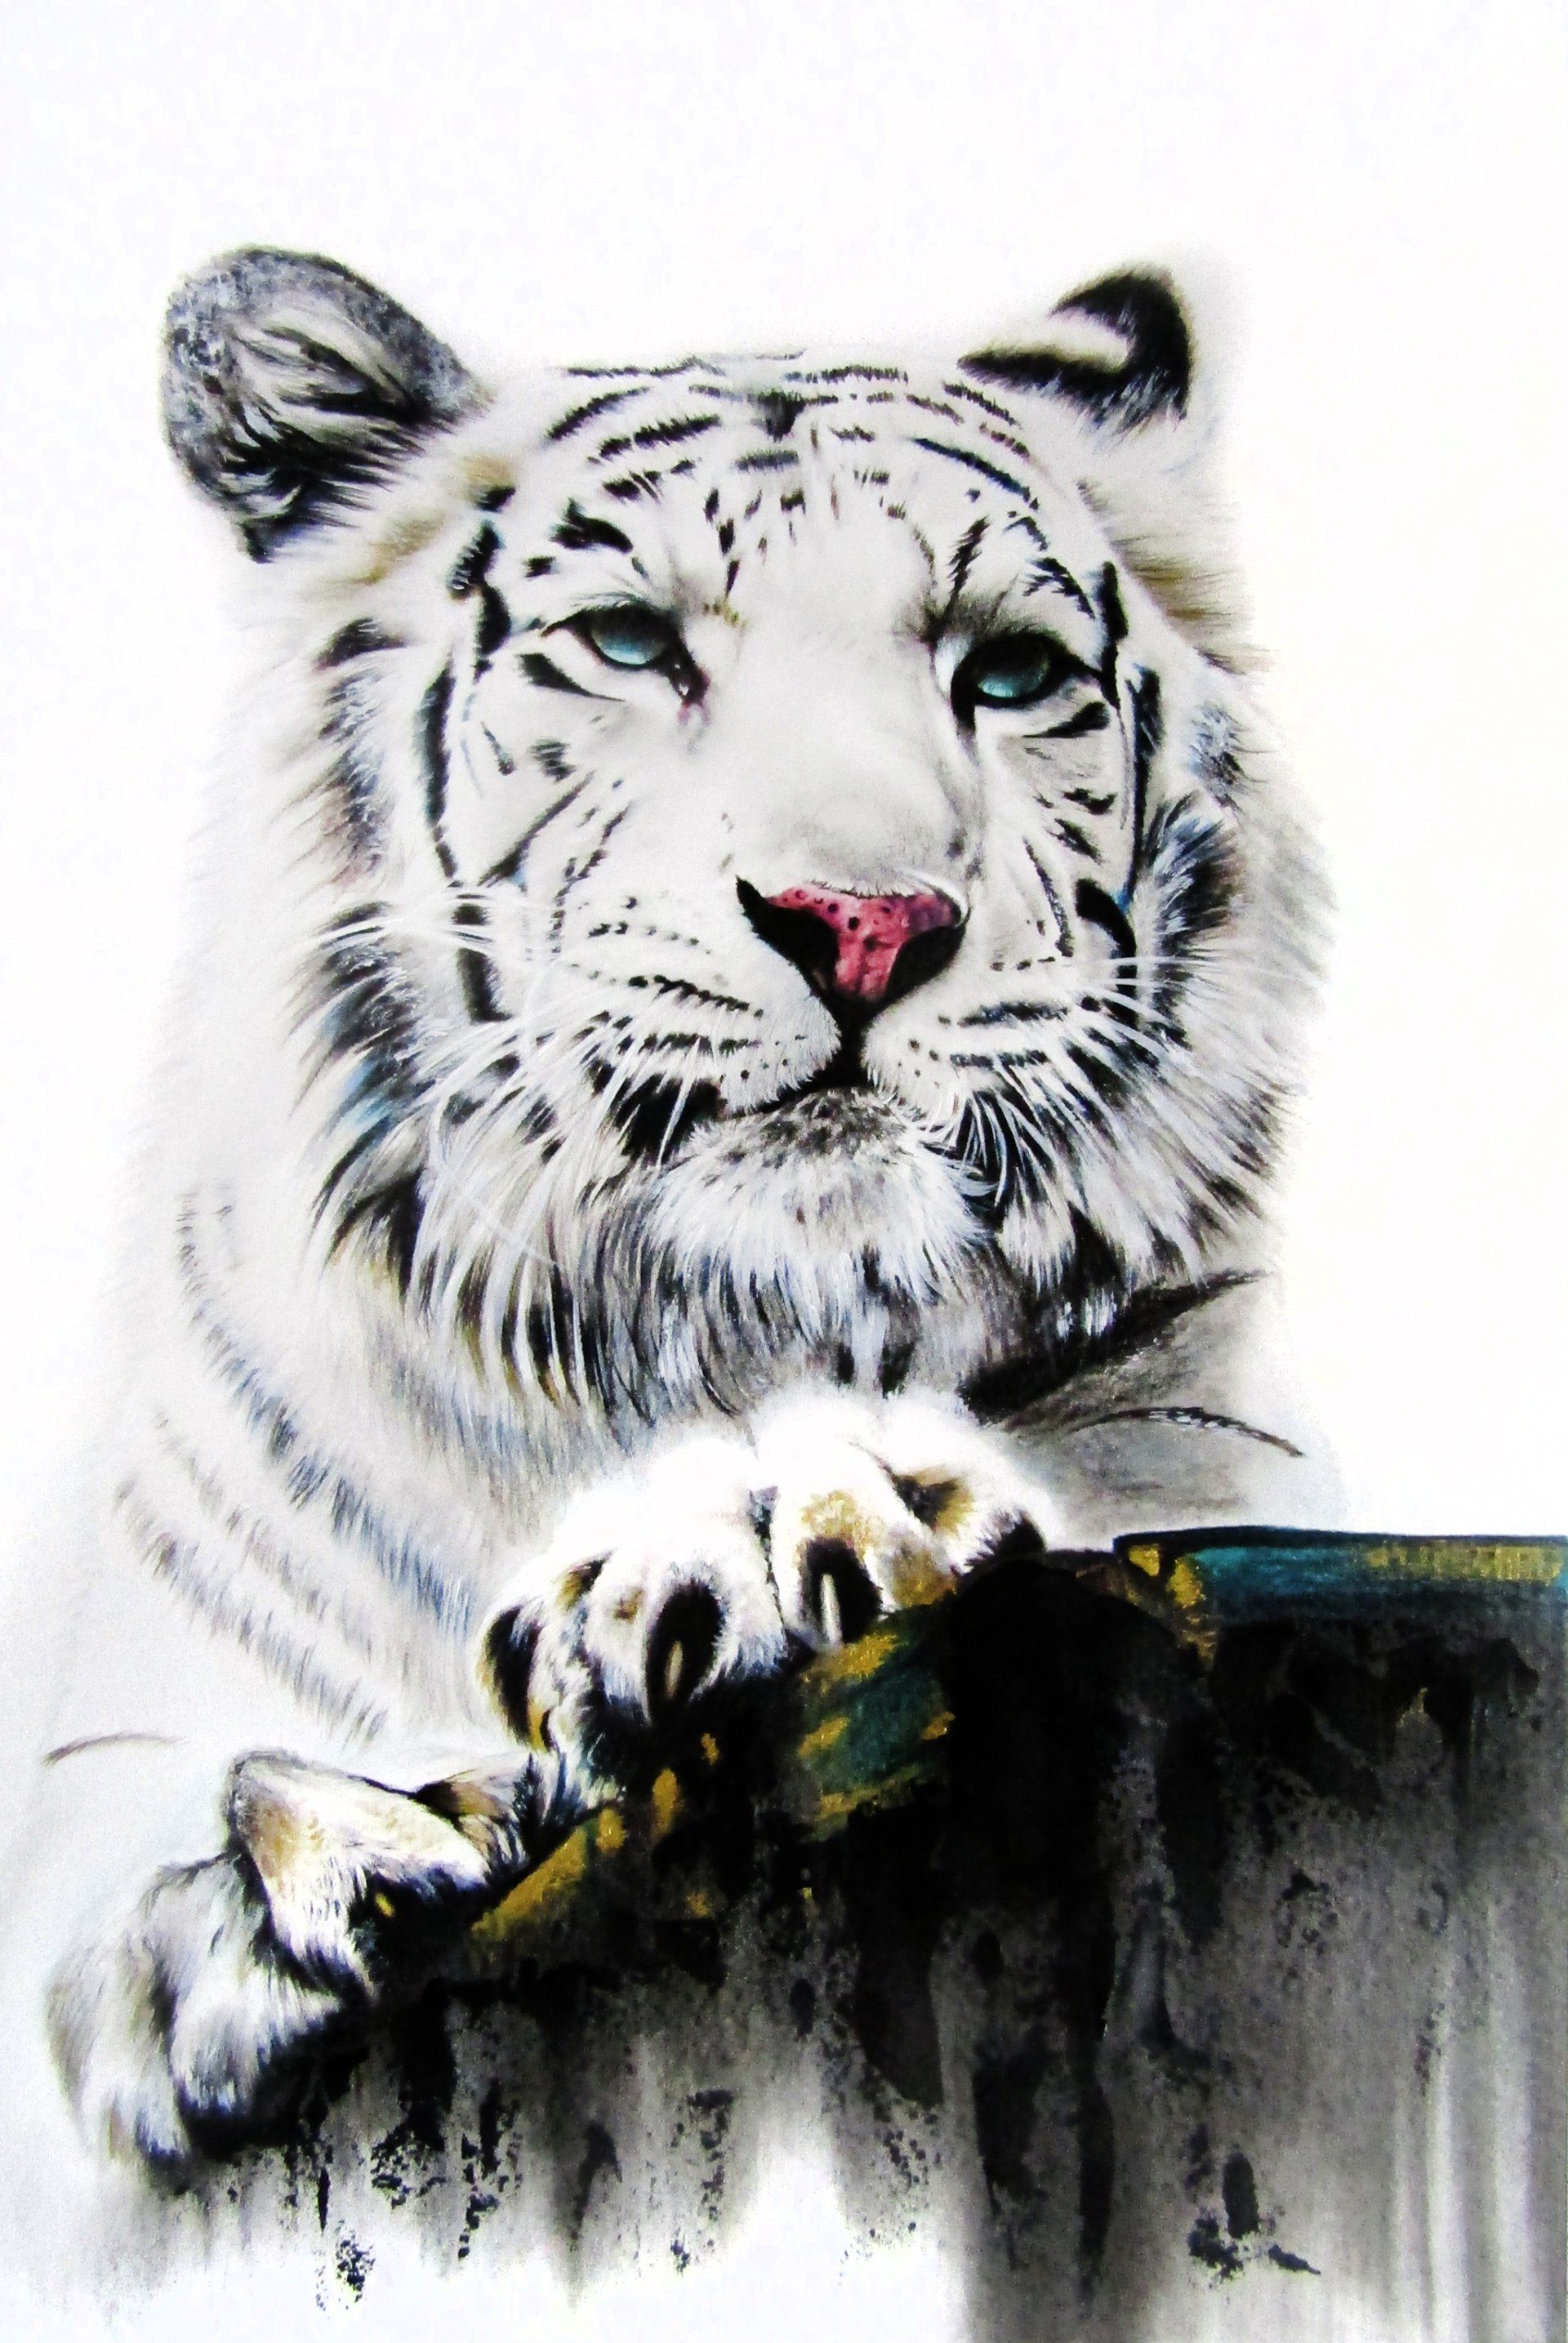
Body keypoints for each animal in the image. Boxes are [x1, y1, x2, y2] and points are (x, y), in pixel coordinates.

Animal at [3, 248, 1330, 2196]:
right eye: (631, 642)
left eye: (1010, 672)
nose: (865, 922)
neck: (700, 1343)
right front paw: (293, 1885)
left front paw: (771, 1538)